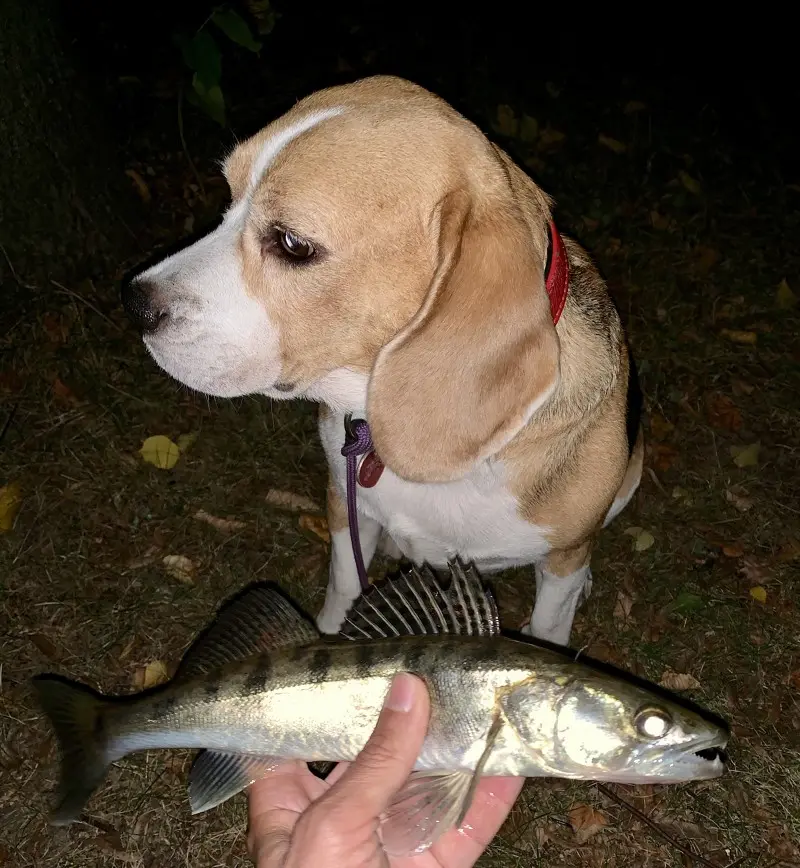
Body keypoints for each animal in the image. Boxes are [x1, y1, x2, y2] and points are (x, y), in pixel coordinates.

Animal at [123, 76, 644, 644]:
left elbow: (548, 625)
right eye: (231, 196)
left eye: (292, 243)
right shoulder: (342, 500)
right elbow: (345, 586)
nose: (136, 304)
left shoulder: (561, 564)